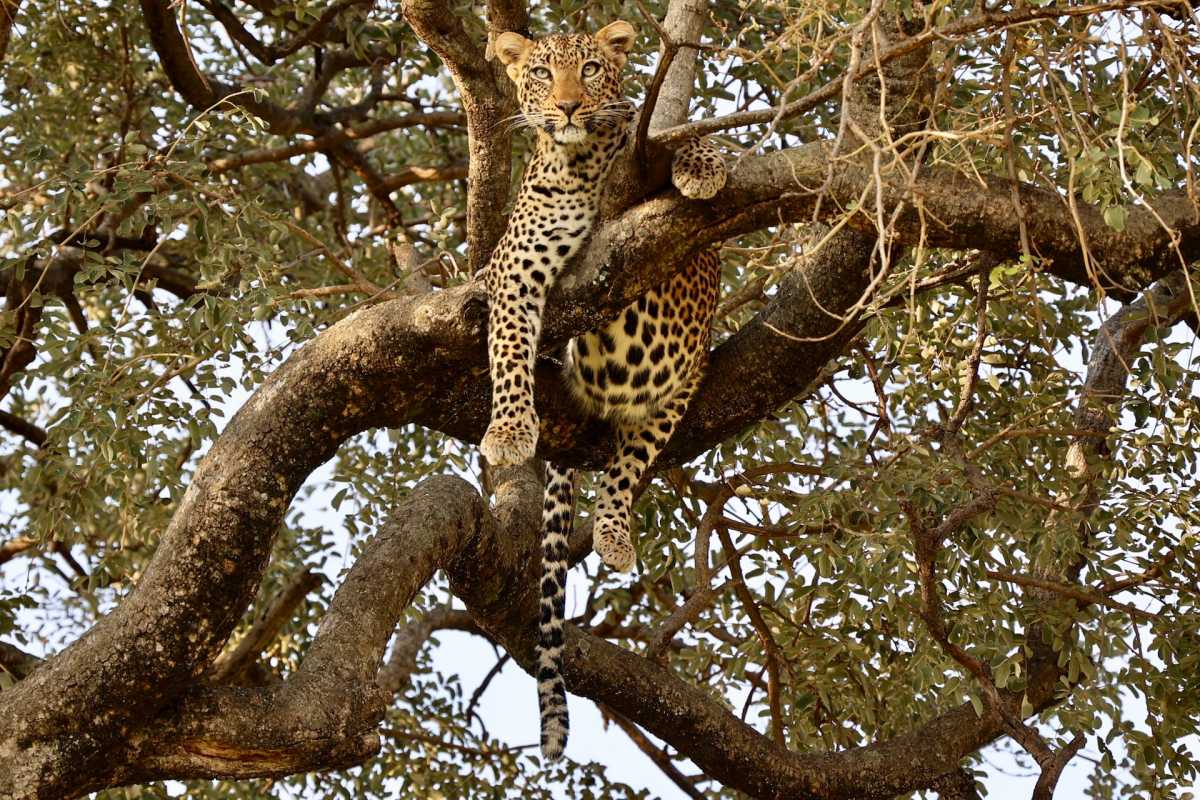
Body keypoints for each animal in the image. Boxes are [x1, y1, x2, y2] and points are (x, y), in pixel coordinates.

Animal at [482, 17, 724, 758]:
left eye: (591, 69)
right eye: (539, 73)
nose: (566, 108)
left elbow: (676, 137)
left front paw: (703, 164)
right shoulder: (513, 269)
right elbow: (507, 350)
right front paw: (509, 430)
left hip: (683, 381)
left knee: (629, 463)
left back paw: (615, 532)